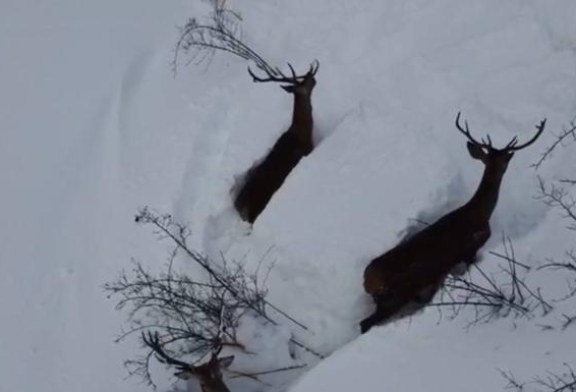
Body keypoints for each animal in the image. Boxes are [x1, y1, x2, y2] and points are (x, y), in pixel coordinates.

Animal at [233, 61, 320, 224]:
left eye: (303, 78)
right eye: (302, 84)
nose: (312, 77)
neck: (303, 133)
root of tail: (238, 208)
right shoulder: (308, 150)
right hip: (256, 207)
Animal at [360, 113, 544, 334]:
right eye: (503, 159)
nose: (507, 162)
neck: (480, 213)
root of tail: (367, 281)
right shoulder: (471, 248)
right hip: (396, 295)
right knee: (365, 323)